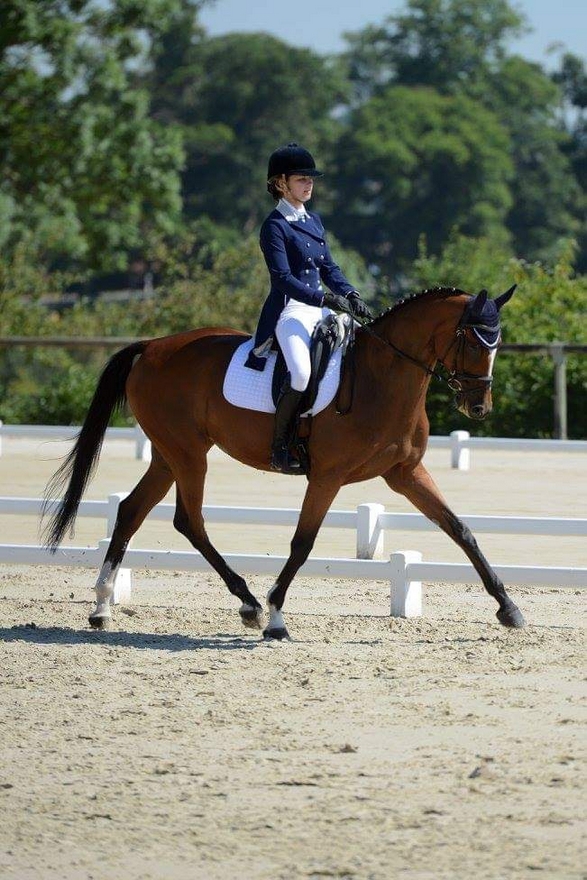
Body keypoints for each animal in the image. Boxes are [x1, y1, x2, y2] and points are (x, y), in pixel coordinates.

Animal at [43, 288, 524, 640]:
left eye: (497, 344)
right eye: (472, 341)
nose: (479, 407)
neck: (382, 378)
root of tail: (152, 347)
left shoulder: (405, 474)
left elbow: (460, 530)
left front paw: (509, 608)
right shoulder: (327, 477)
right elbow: (302, 543)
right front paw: (276, 617)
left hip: (166, 455)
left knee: (131, 511)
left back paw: (103, 607)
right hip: (188, 454)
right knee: (188, 520)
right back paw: (251, 605)